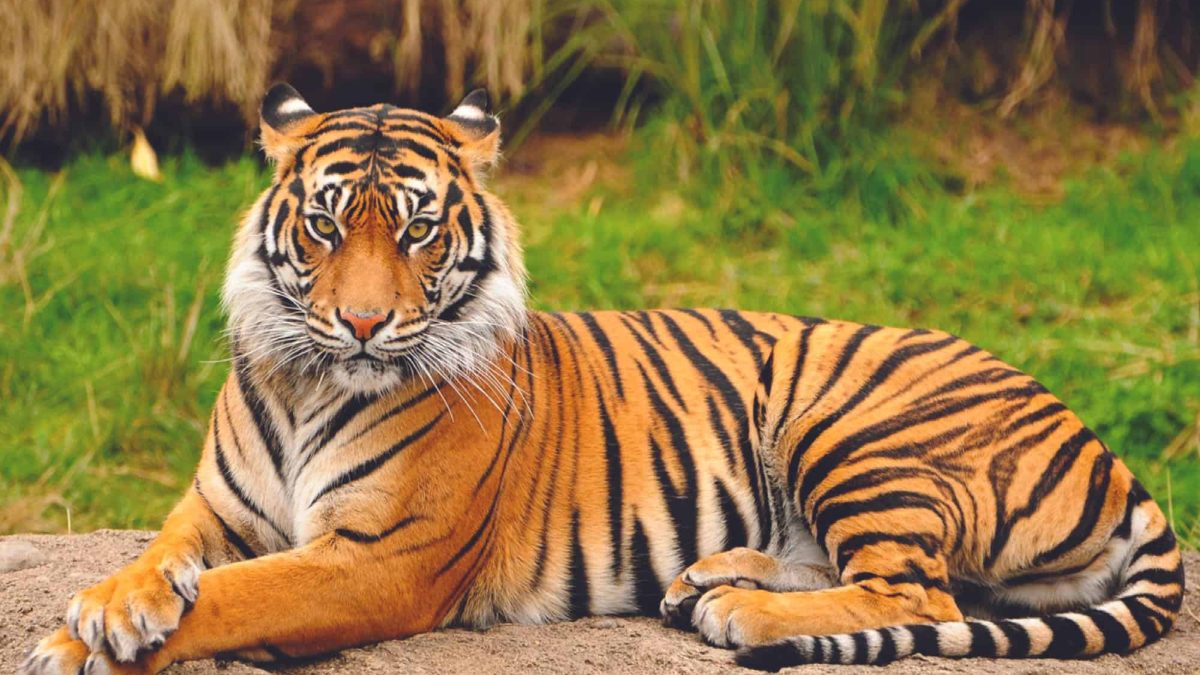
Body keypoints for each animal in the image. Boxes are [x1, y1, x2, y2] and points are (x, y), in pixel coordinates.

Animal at [22, 84, 1184, 675]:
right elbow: (161, 558)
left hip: (850, 419)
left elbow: (236, 595)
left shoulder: (378, 558)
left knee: (917, 587)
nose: (361, 322)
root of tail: (1106, 451)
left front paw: (83, 644)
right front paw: (106, 609)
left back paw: (739, 613)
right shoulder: (216, 509)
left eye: (418, 231)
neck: (313, 381)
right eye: (325, 224)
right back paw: (712, 577)